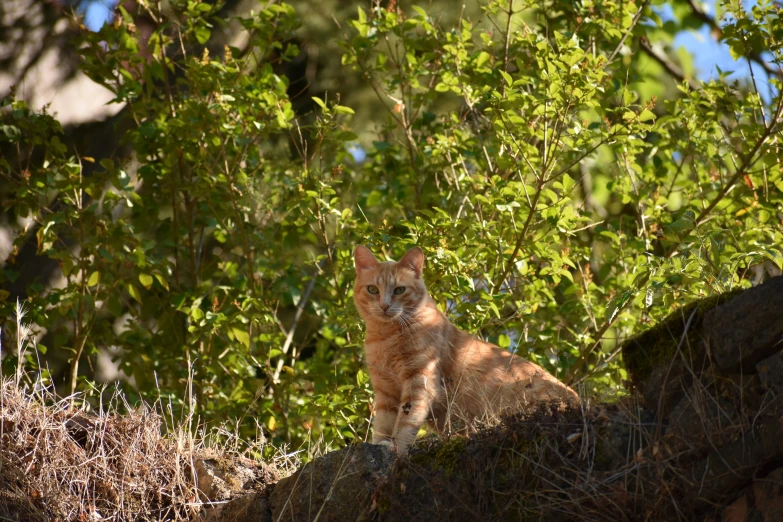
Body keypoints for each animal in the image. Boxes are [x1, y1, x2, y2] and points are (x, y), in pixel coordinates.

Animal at [352, 244, 580, 450]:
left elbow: (405, 423)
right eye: (373, 289)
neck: (385, 337)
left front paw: (396, 449)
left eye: (399, 290)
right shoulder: (385, 391)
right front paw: (380, 444)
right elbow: (383, 425)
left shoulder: (419, 382)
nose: (384, 306)